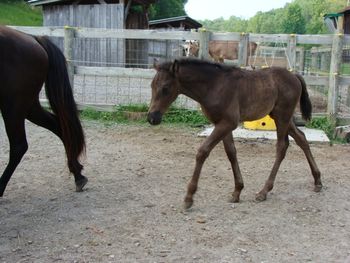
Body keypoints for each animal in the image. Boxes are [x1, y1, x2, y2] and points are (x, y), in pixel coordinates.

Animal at [0, 25, 87, 197]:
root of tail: (33, 38)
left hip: (13, 105)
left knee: (19, 146)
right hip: (27, 106)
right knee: (59, 127)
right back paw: (78, 174)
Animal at [148, 58, 322, 210]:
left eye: (165, 88)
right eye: (151, 86)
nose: (152, 118)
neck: (214, 85)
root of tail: (294, 76)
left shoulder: (228, 123)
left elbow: (203, 151)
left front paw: (189, 198)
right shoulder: (222, 124)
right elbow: (231, 153)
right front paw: (237, 191)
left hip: (282, 116)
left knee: (282, 147)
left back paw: (264, 191)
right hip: (280, 117)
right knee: (301, 138)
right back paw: (318, 181)